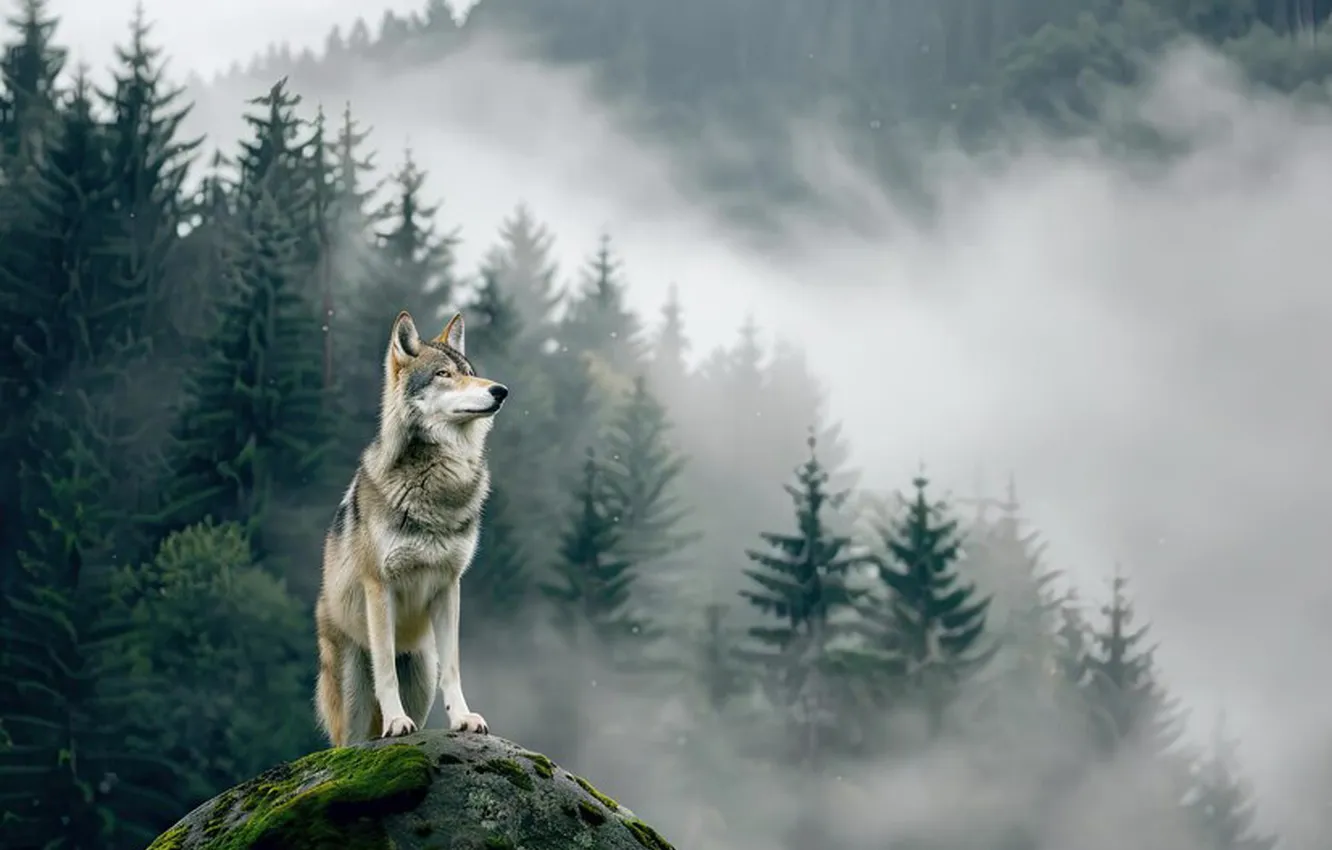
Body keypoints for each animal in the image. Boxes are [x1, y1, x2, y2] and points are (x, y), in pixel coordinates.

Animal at [314, 310, 508, 746]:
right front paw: (396, 723)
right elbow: (385, 669)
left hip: (421, 669)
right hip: (352, 692)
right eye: (443, 374)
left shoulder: (449, 585)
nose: (501, 390)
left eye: (470, 373)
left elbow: (453, 667)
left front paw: (463, 718)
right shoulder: (379, 586)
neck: (436, 485)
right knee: (348, 743)